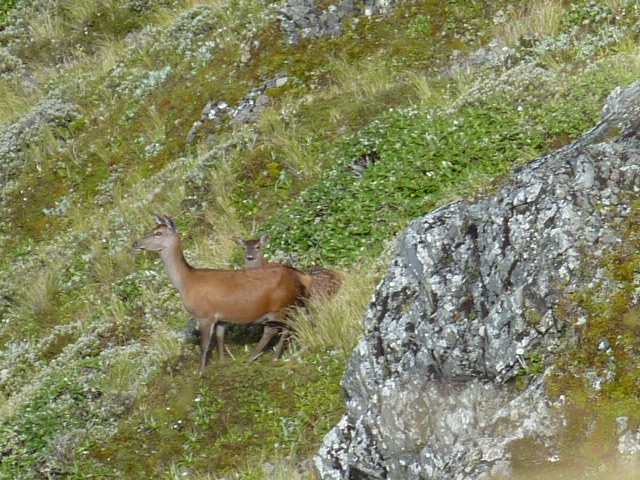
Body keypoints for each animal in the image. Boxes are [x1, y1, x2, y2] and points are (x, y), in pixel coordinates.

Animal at [131, 215, 312, 376]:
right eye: (152, 229)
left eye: (158, 233)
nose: (135, 243)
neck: (186, 282)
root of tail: (300, 276)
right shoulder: (221, 317)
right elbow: (220, 337)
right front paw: (222, 361)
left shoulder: (205, 314)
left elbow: (204, 344)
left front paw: (200, 370)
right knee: (279, 327)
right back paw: (255, 357)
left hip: (281, 306)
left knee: (282, 328)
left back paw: (269, 357)